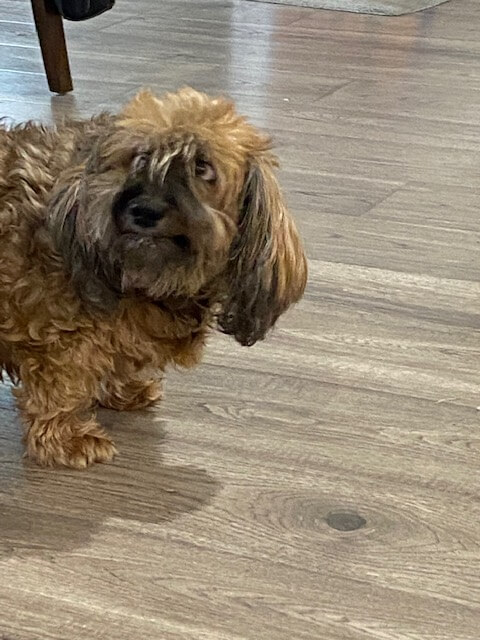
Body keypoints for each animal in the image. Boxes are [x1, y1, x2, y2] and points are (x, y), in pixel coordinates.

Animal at [0, 88, 307, 468]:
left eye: (201, 167)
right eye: (140, 158)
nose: (145, 210)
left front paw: (121, 390)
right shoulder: (56, 338)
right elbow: (59, 390)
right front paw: (65, 439)